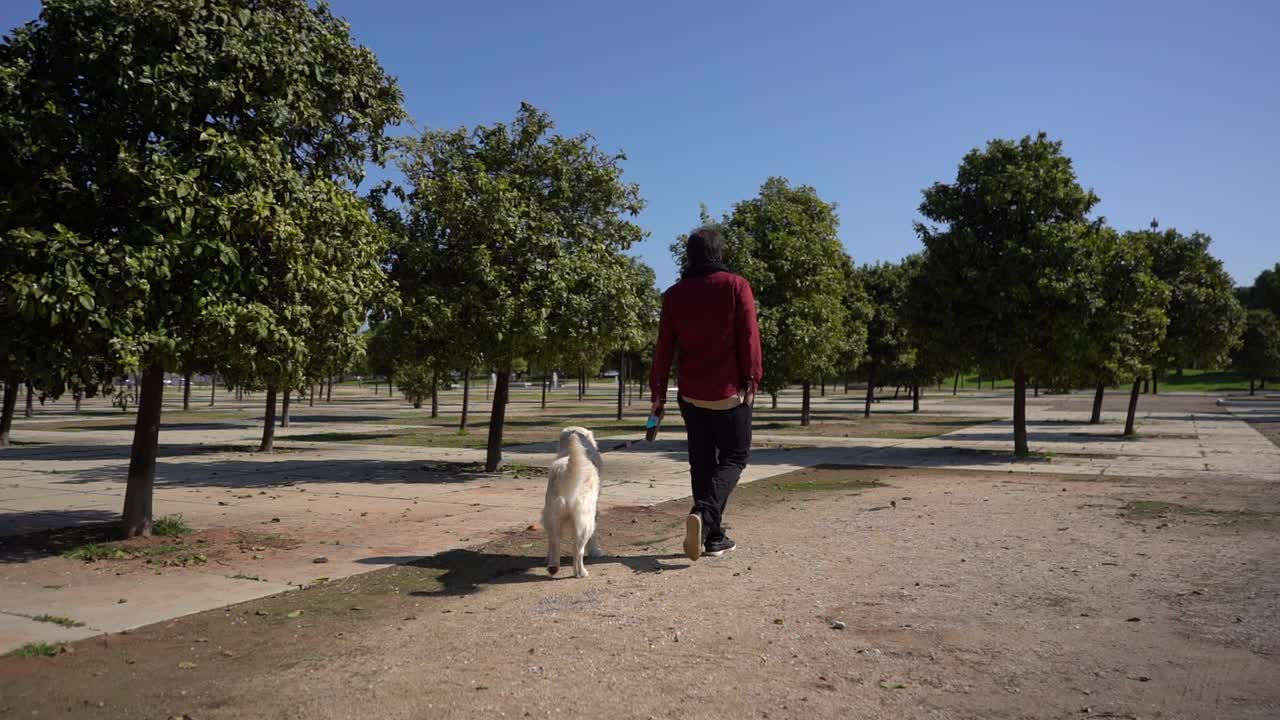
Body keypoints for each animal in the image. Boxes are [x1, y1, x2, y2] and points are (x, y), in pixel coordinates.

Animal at [537, 422, 601, 573]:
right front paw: (596, 551)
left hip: (552, 517)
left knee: (554, 543)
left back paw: (552, 566)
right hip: (585, 522)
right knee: (578, 551)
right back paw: (581, 573)